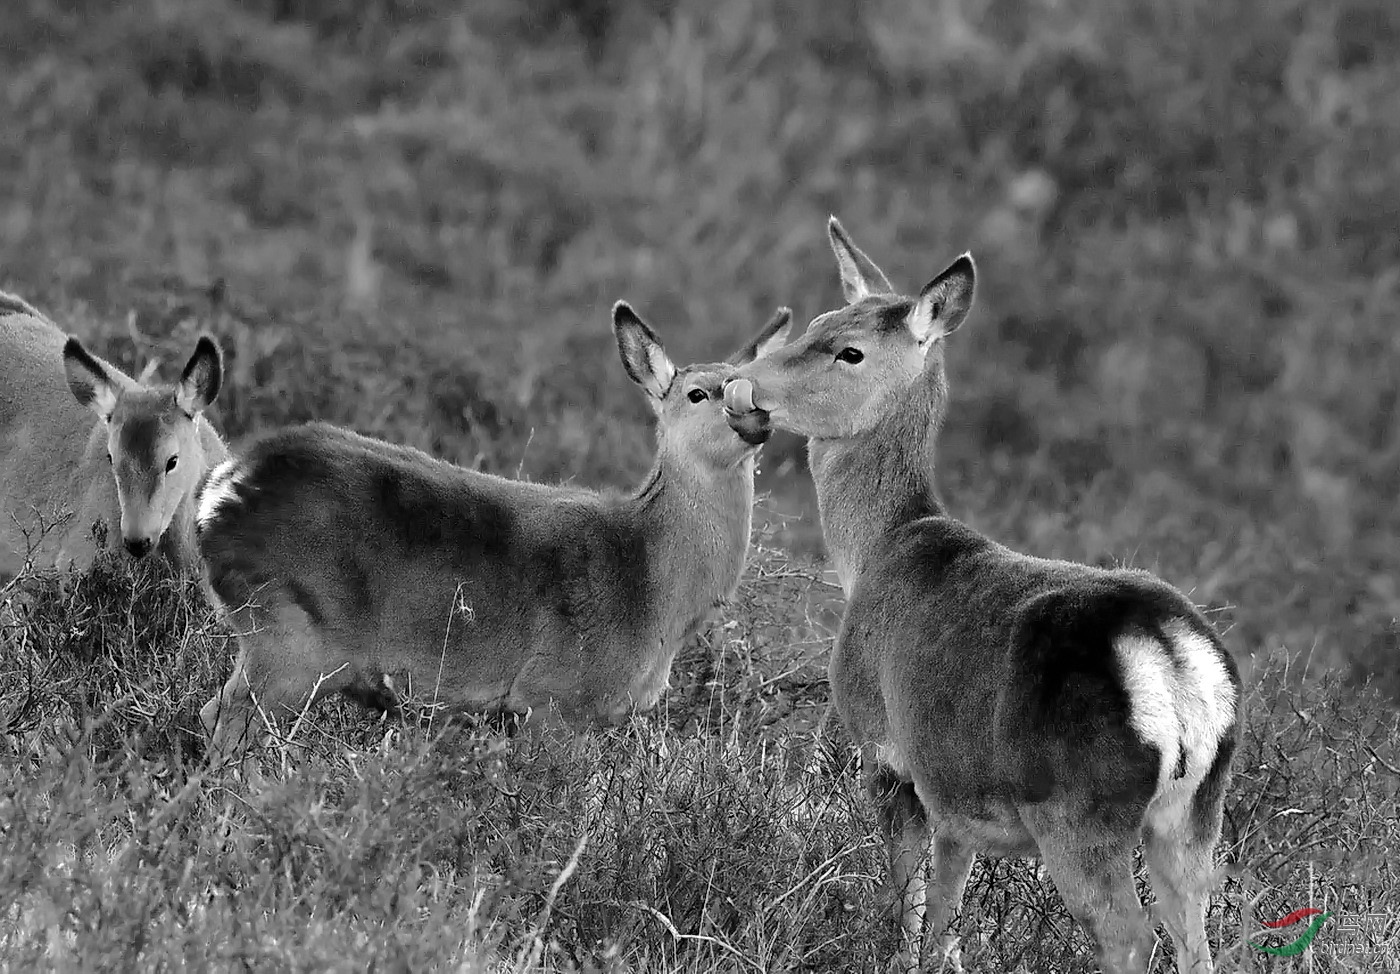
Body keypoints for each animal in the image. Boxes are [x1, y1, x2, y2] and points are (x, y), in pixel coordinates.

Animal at [194, 300, 800, 766]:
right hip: (288, 629)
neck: (654, 590)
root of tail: (223, 488)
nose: (756, 417)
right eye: (698, 393)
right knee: (226, 719)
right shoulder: (553, 696)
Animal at [722, 221, 1237, 974]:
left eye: (851, 351)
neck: (876, 550)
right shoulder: (958, 801)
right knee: (1198, 940)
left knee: (1130, 937)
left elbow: (911, 907)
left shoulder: (890, 754)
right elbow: (948, 919)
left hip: (1079, 808)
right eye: (816, 321)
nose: (739, 385)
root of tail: (1172, 656)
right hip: (1195, 812)